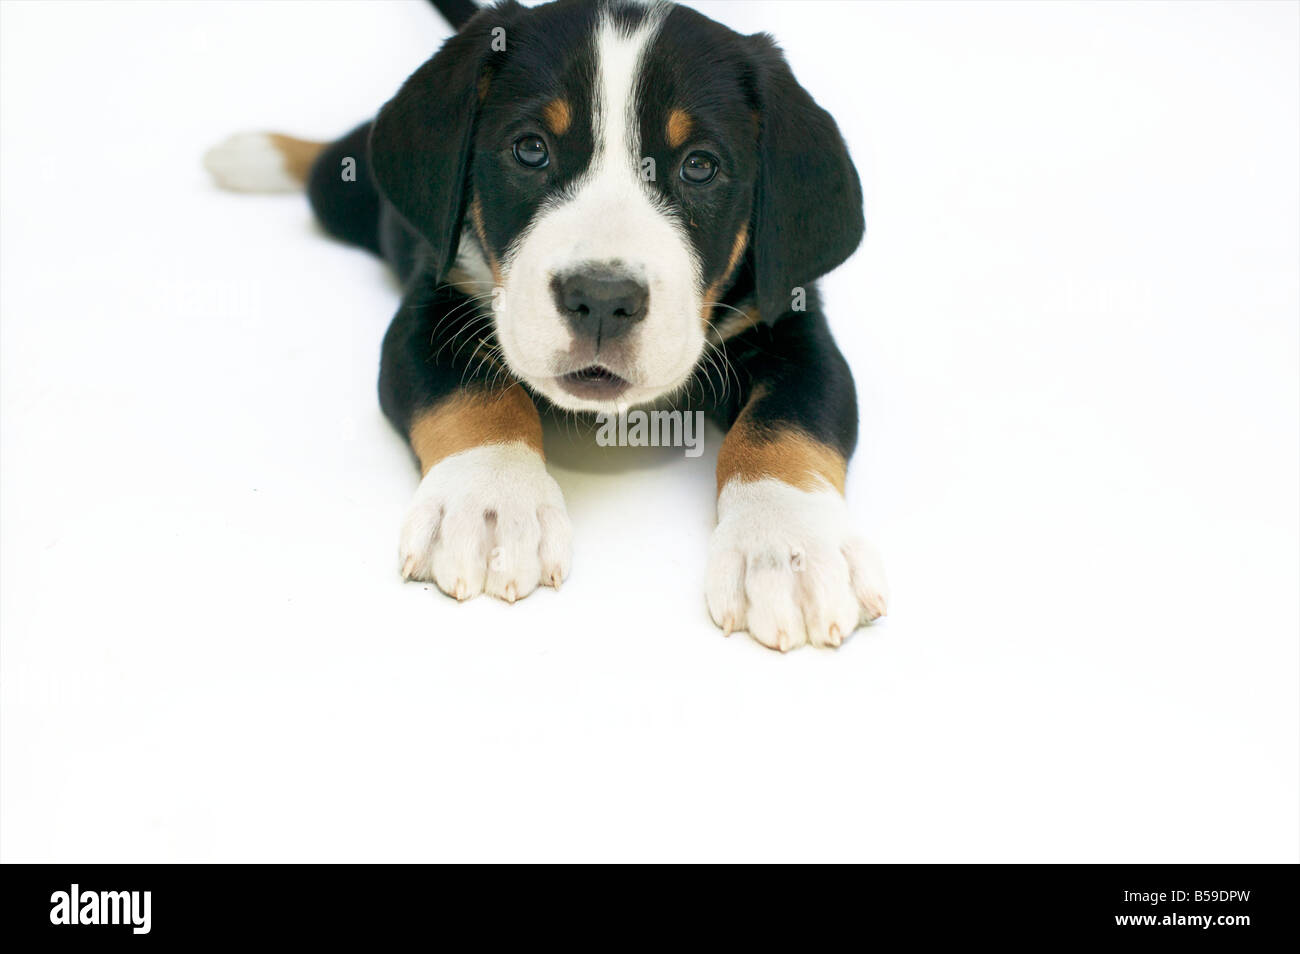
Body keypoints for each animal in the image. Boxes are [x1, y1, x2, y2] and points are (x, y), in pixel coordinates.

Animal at [205, 0, 894, 649]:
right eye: (530, 149)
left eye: (700, 166)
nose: (602, 299)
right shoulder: (432, 303)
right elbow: (476, 393)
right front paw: (489, 498)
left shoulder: (794, 324)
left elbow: (785, 424)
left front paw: (789, 546)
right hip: (346, 194)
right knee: (331, 162)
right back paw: (249, 153)